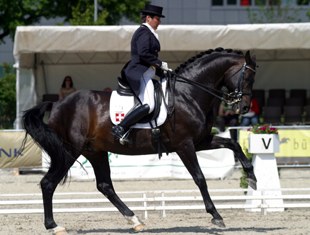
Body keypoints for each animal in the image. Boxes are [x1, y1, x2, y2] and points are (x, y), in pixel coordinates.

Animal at [22, 47, 256, 233]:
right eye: (247, 77)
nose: (244, 107)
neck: (188, 94)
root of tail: (57, 104)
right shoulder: (185, 145)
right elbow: (199, 178)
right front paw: (216, 215)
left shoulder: (201, 141)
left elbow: (233, 144)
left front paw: (252, 177)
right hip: (70, 151)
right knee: (48, 183)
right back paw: (53, 226)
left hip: (94, 151)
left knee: (105, 185)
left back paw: (135, 220)